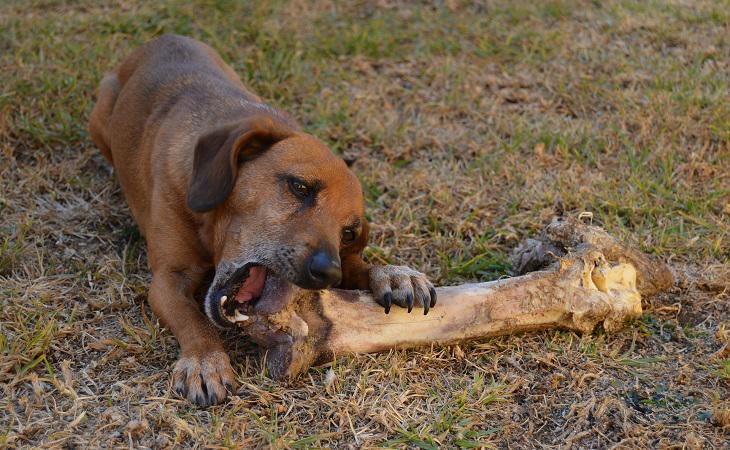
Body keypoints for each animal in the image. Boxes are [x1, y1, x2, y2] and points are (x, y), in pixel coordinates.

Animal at [88, 36, 436, 408]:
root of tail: (162, 39)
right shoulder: (167, 280)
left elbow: (360, 266)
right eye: (300, 187)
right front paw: (205, 360)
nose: (330, 273)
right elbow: (193, 319)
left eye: (348, 233)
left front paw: (393, 274)